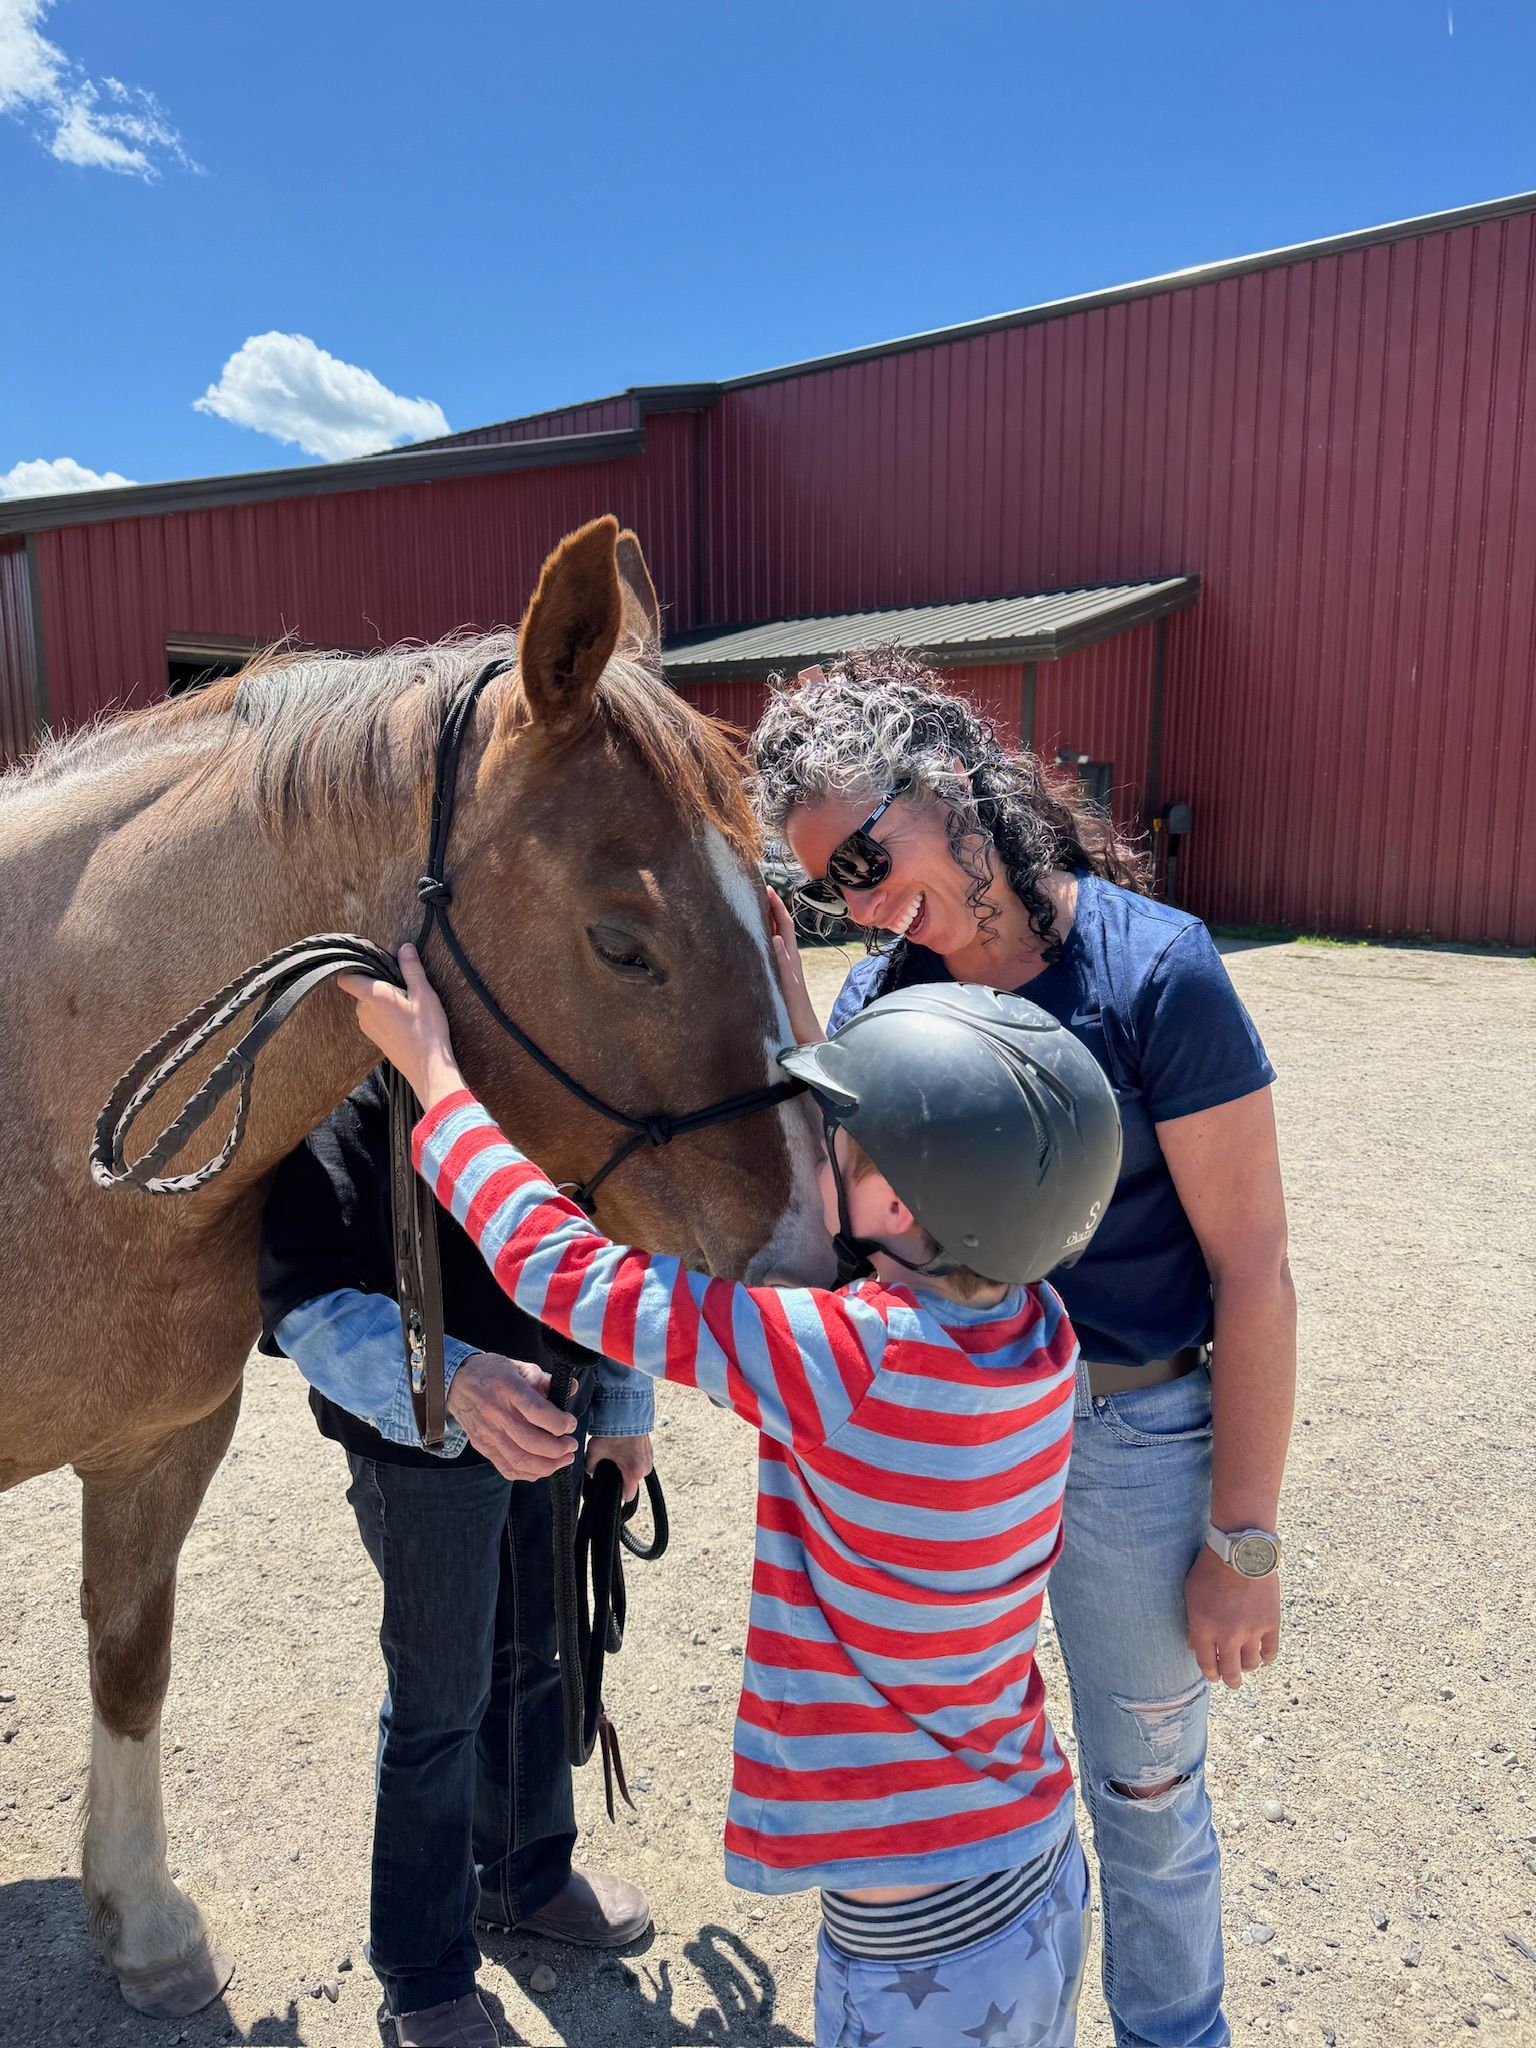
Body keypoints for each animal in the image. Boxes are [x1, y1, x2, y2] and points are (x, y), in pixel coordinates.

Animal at [0, 515, 832, 2017]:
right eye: (620, 940)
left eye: (785, 908)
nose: (810, 1249)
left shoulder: (162, 1445)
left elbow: (130, 1662)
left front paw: (144, 1925)